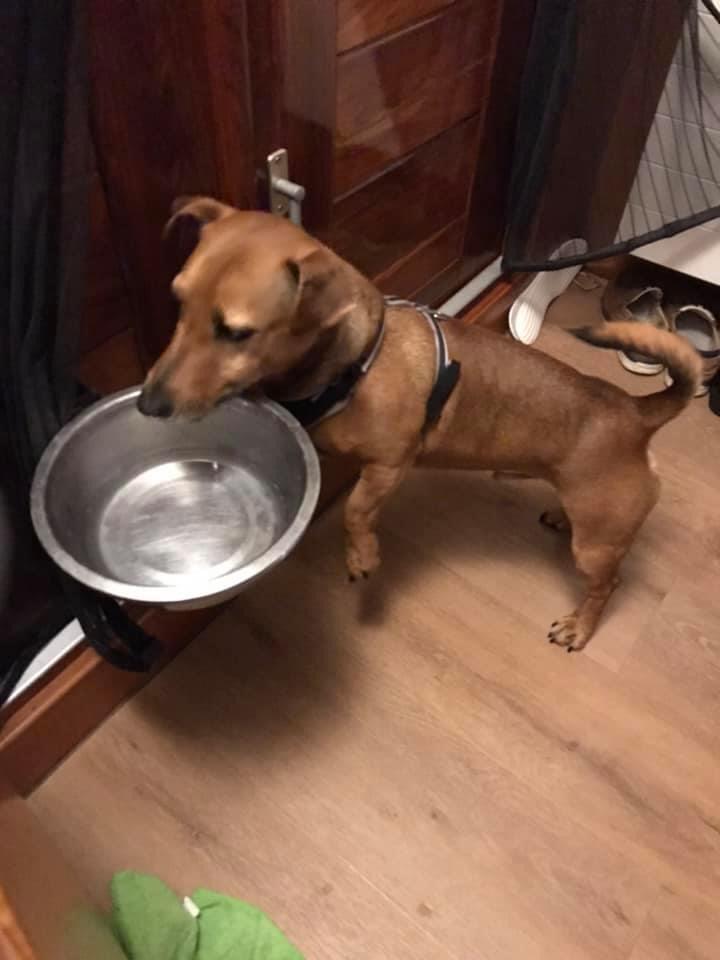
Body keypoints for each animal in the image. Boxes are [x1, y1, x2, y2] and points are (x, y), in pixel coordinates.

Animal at [138, 197, 700, 651]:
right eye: (178, 302)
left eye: (237, 332)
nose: (148, 404)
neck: (355, 361)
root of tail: (636, 412)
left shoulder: (390, 464)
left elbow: (356, 511)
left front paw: (362, 557)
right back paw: (561, 516)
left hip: (596, 548)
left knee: (607, 586)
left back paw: (579, 627)